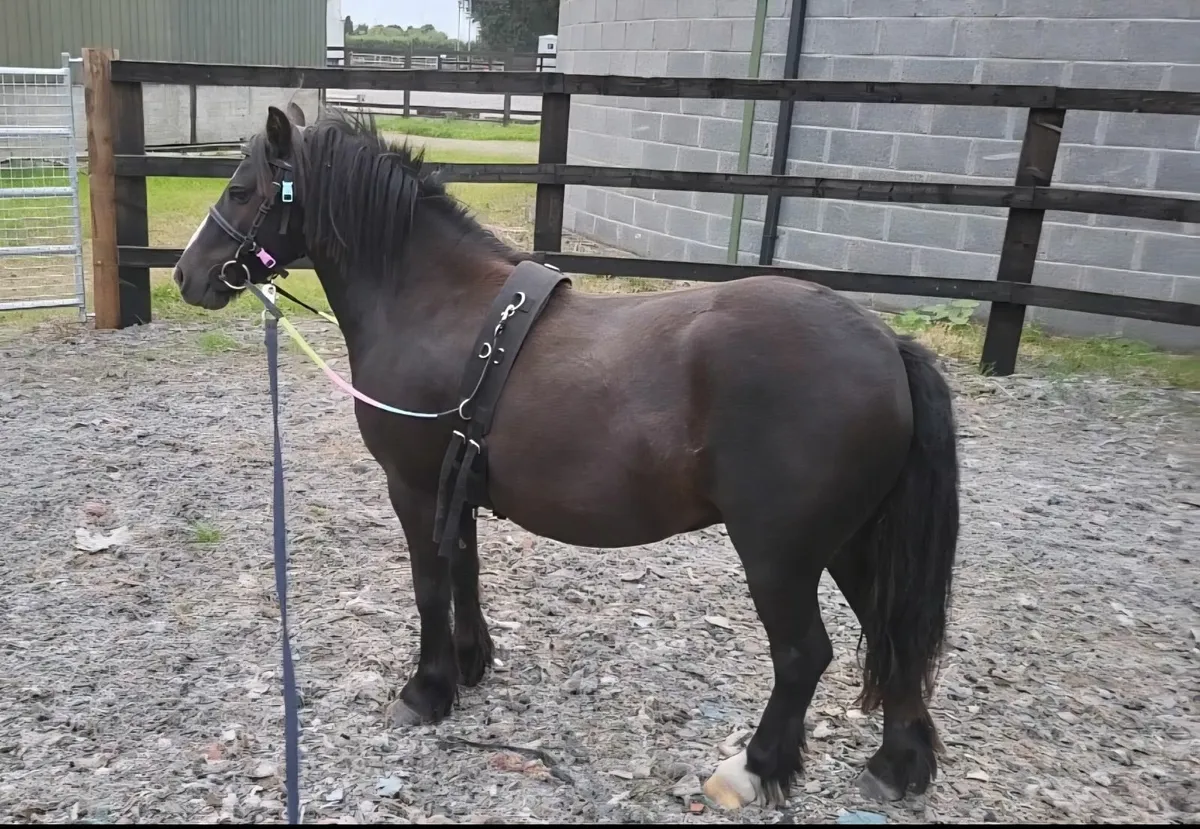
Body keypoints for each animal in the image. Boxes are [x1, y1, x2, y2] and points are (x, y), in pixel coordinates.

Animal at [172, 103, 961, 810]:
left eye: (240, 189)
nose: (186, 274)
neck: (434, 303)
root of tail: (886, 344)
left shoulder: (414, 486)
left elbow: (429, 585)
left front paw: (426, 690)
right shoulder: (459, 482)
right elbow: (464, 570)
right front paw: (470, 663)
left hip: (781, 552)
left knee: (804, 654)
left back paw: (755, 768)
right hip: (854, 542)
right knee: (894, 638)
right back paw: (896, 764)